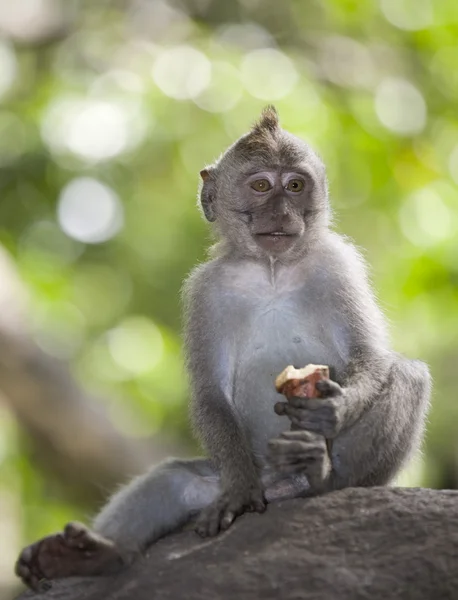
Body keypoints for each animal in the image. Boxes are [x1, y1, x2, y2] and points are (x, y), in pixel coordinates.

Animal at [14, 106, 430, 592]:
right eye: (261, 186)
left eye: (295, 186)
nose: (282, 212)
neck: (272, 270)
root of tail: (281, 484)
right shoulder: (205, 291)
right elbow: (209, 393)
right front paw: (240, 494)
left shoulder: (339, 265)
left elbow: (371, 357)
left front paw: (334, 409)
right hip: (231, 475)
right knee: (174, 479)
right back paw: (95, 555)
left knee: (408, 375)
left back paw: (321, 478)